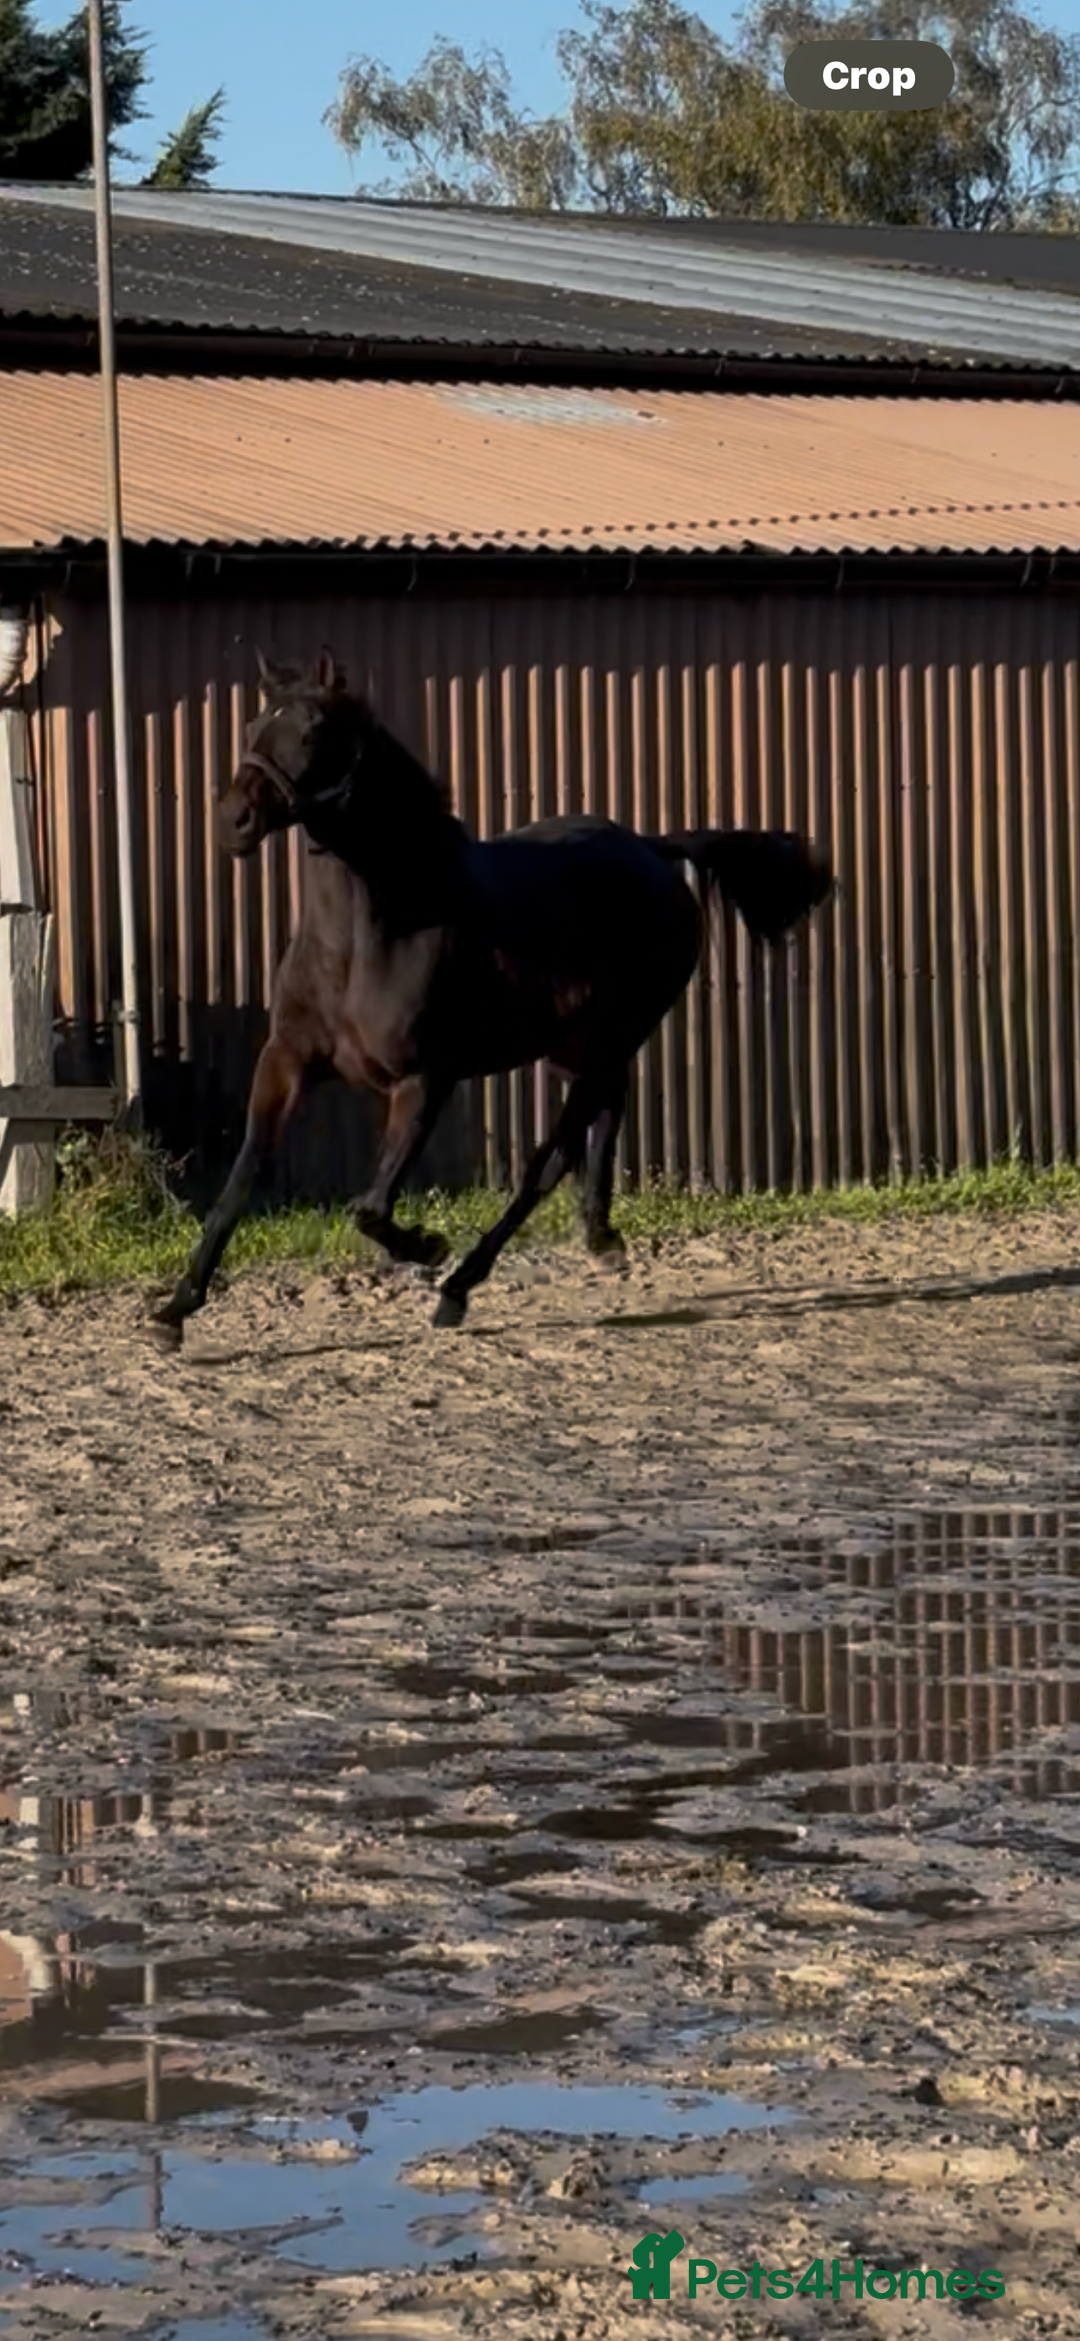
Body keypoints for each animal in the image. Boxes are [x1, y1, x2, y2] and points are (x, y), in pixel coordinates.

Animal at [153, 650, 834, 1338]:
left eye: (314, 728)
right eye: (253, 721)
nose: (232, 821)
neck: (370, 937)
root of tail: (650, 850)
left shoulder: (424, 1081)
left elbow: (369, 1208)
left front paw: (429, 1247)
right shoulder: (286, 1062)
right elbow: (241, 1180)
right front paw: (176, 1308)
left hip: (609, 1040)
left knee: (546, 1163)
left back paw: (461, 1285)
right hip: (582, 1049)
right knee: (600, 1122)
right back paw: (600, 1237)